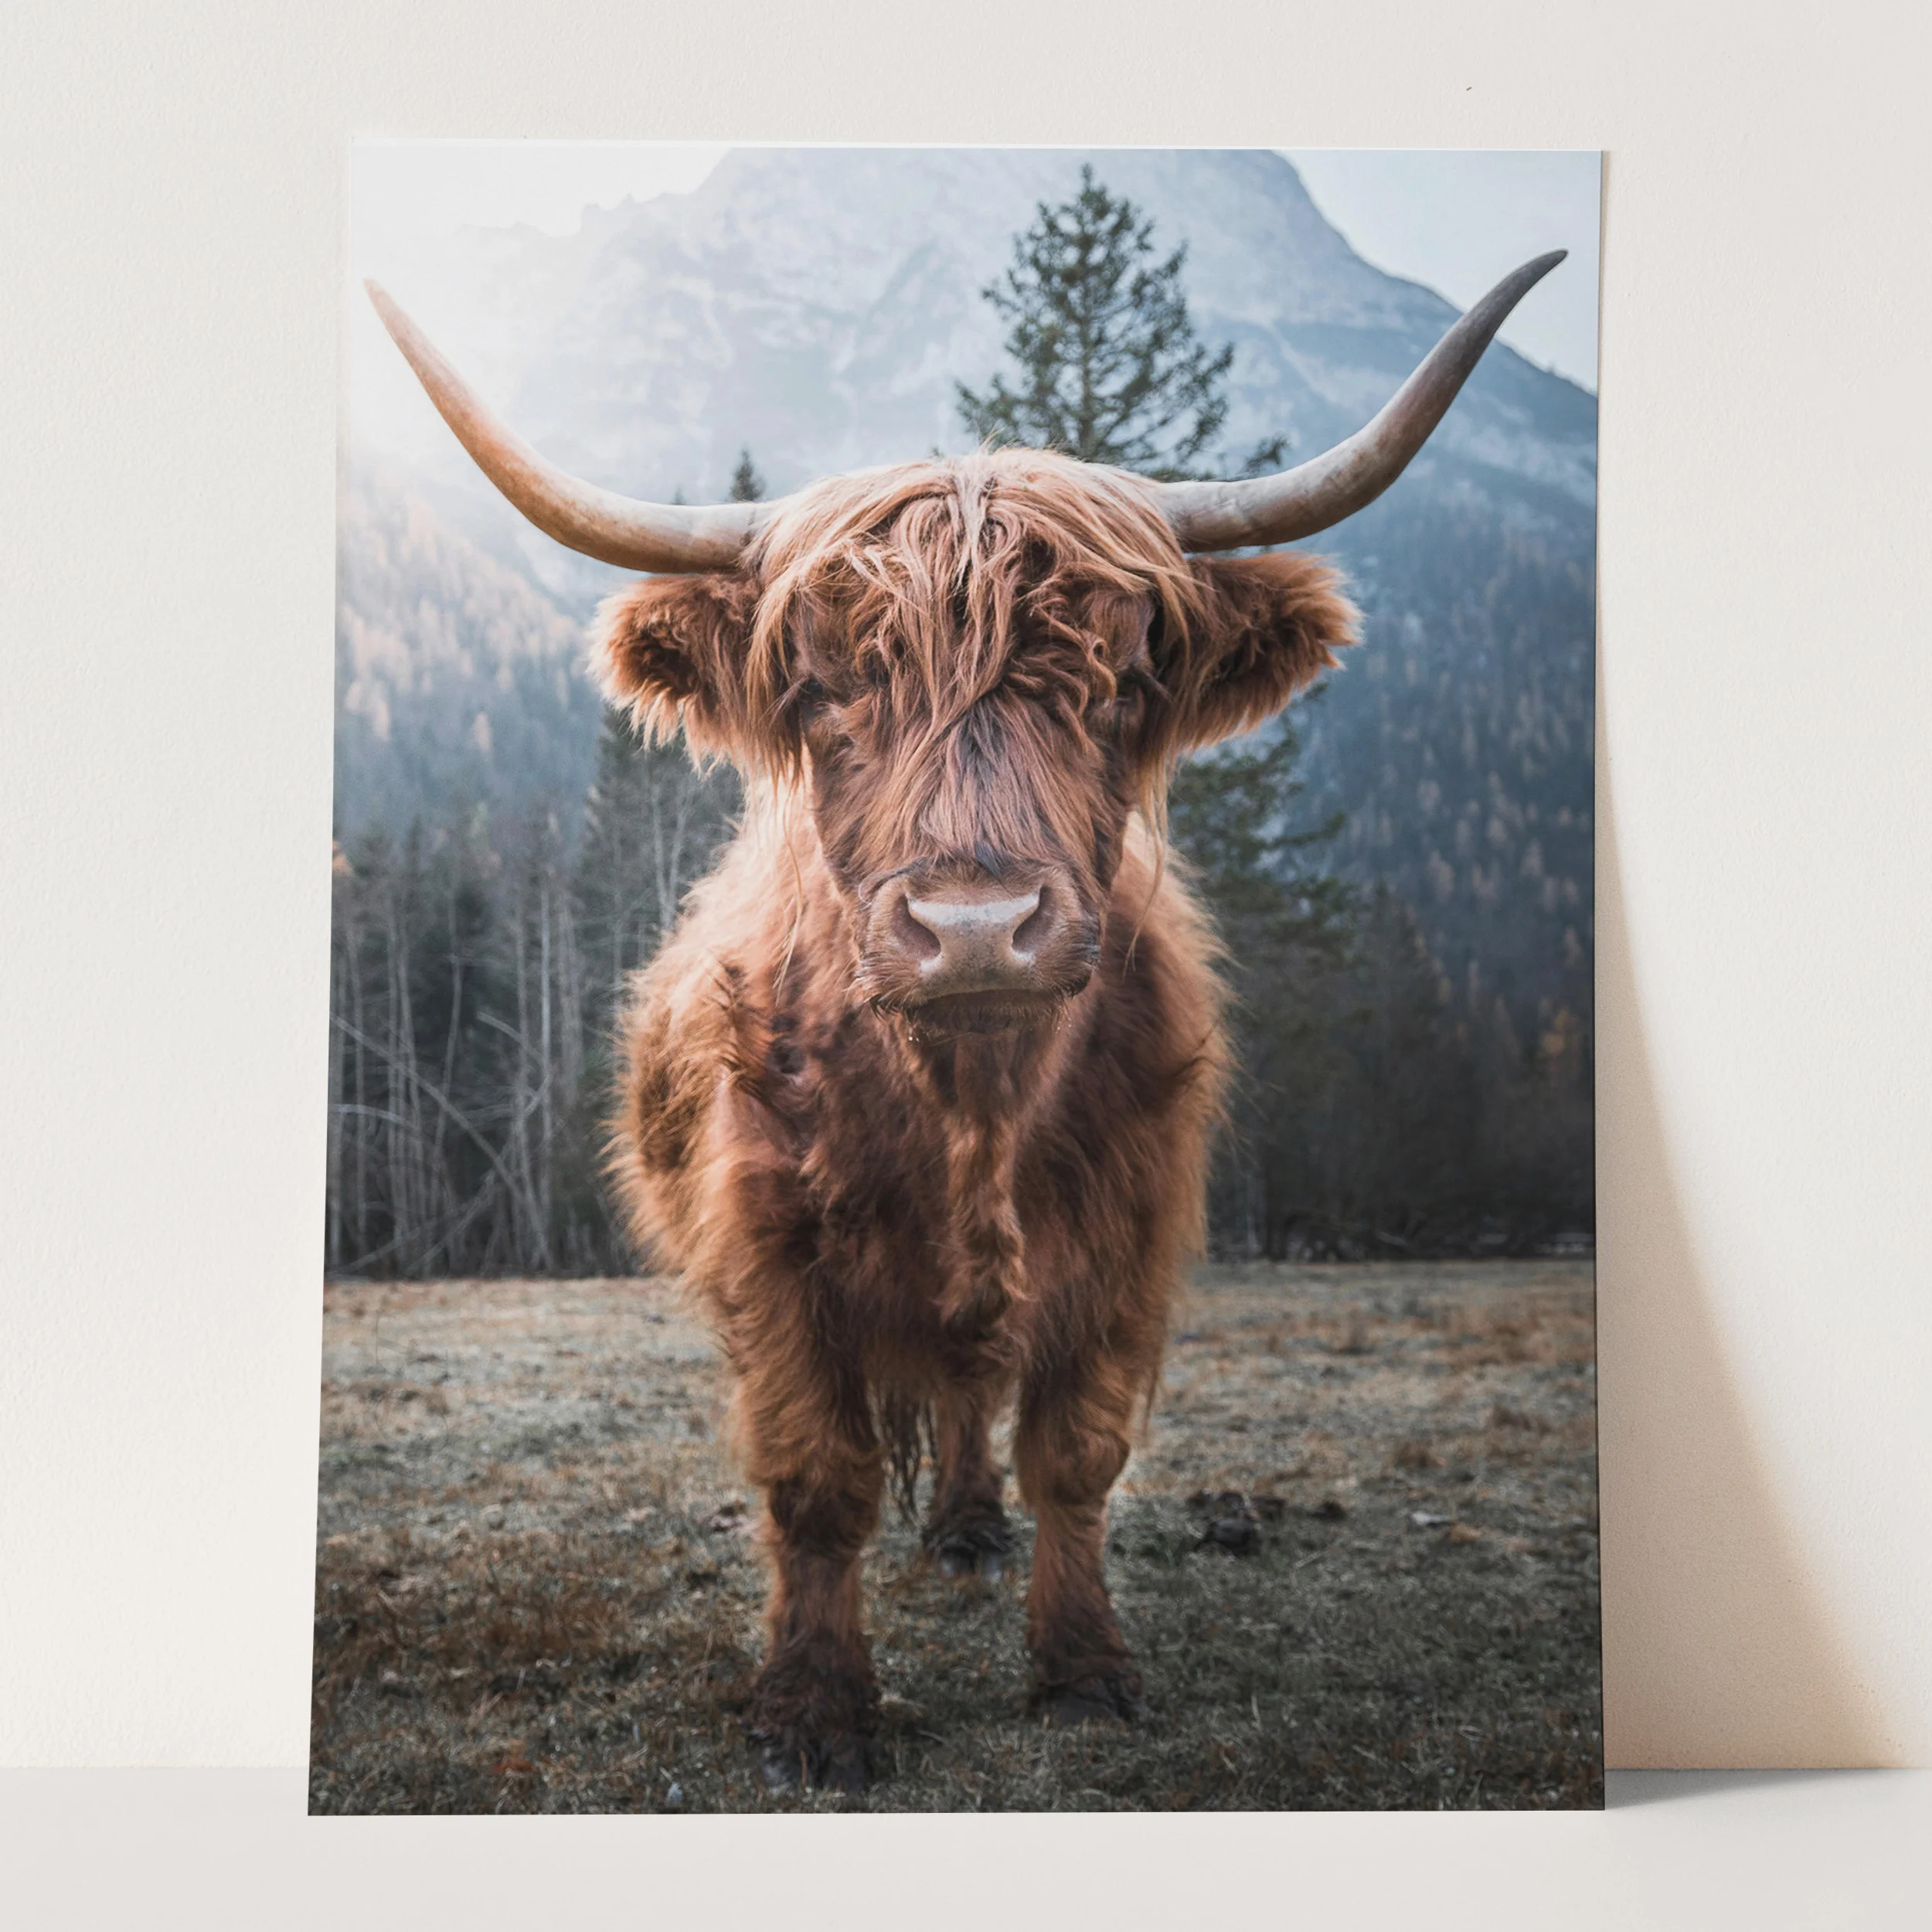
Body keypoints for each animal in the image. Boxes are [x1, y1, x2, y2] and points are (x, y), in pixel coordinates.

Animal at [369, 249, 1561, 1792]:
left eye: (1120, 682)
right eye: (821, 688)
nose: (980, 927)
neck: (971, 1106)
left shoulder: (1126, 1235)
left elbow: (1077, 1454)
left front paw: (1085, 1669)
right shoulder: (770, 1248)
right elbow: (816, 1479)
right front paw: (815, 1710)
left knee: (970, 1389)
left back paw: (970, 1528)